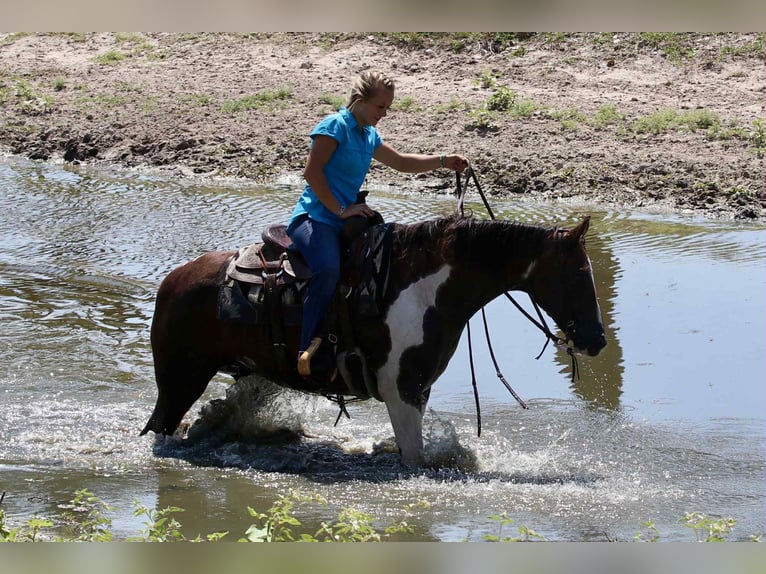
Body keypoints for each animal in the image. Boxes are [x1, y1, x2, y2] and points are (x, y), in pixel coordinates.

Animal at [140, 213, 606, 467]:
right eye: (578, 273)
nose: (598, 340)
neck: (424, 290)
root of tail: (173, 281)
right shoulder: (402, 390)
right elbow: (414, 459)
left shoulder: (417, 390)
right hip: (179, 381)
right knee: (159, 427)